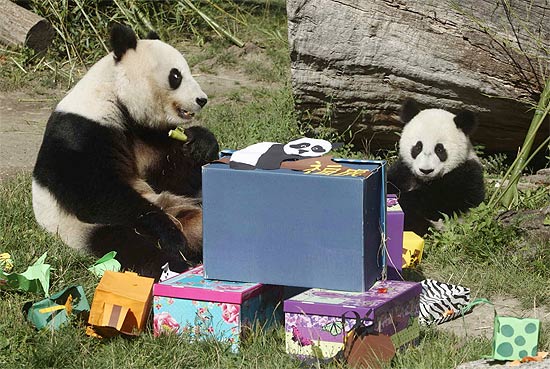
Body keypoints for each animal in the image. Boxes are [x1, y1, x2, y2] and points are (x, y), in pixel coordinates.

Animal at [32, 24, 220, 278]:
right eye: (176, 76)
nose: (202, 100)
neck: (115, 96)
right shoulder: (80, 132)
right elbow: (96, 194)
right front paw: (169, 234)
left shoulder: (146, 134)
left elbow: (170, 178)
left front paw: (200, 143)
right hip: (86, 229)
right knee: (135, 246)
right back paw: (175, 260)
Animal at [388, 98, 488, 234]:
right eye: (418, 147)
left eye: (440, 149)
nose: (426, 170)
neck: (425, 181)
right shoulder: (404, 171)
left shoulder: (466, 175)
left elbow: (442, 201)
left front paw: (403, 200)